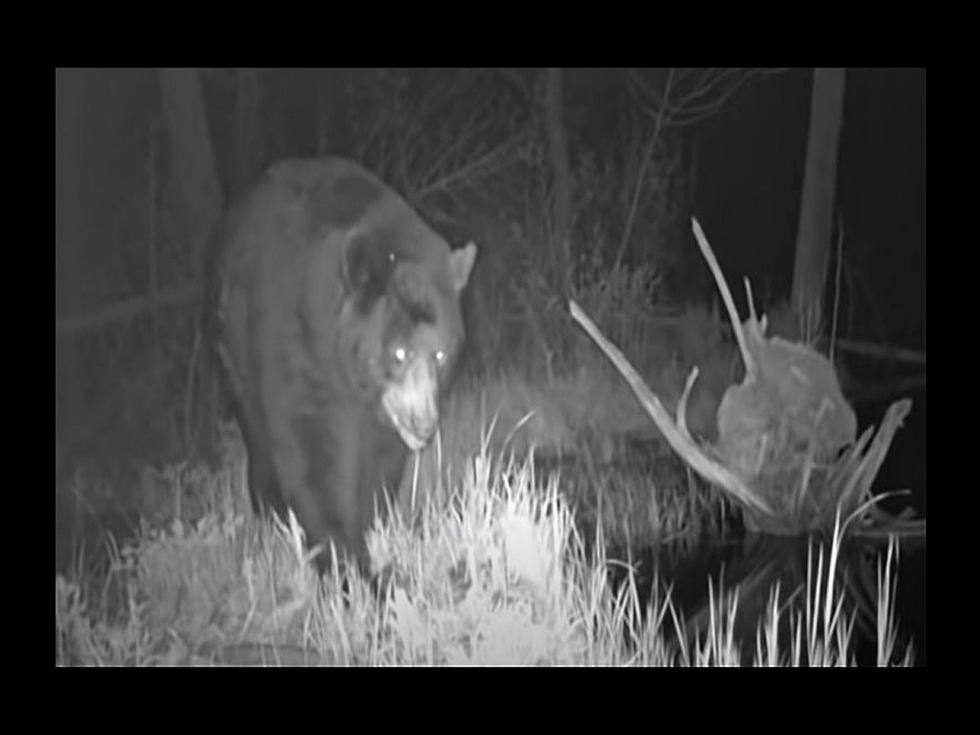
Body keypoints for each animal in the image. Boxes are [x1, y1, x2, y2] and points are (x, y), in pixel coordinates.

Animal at [212, 157, 478, 576]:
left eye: (440, 354)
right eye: (398, 353)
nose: (424, 424)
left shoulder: (384, 413)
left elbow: (381, 458)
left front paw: (373, 522)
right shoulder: (294, 339)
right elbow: (311, 453)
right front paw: (347, 562)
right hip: (234, 347)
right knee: (257, 429)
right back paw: (270, 509)